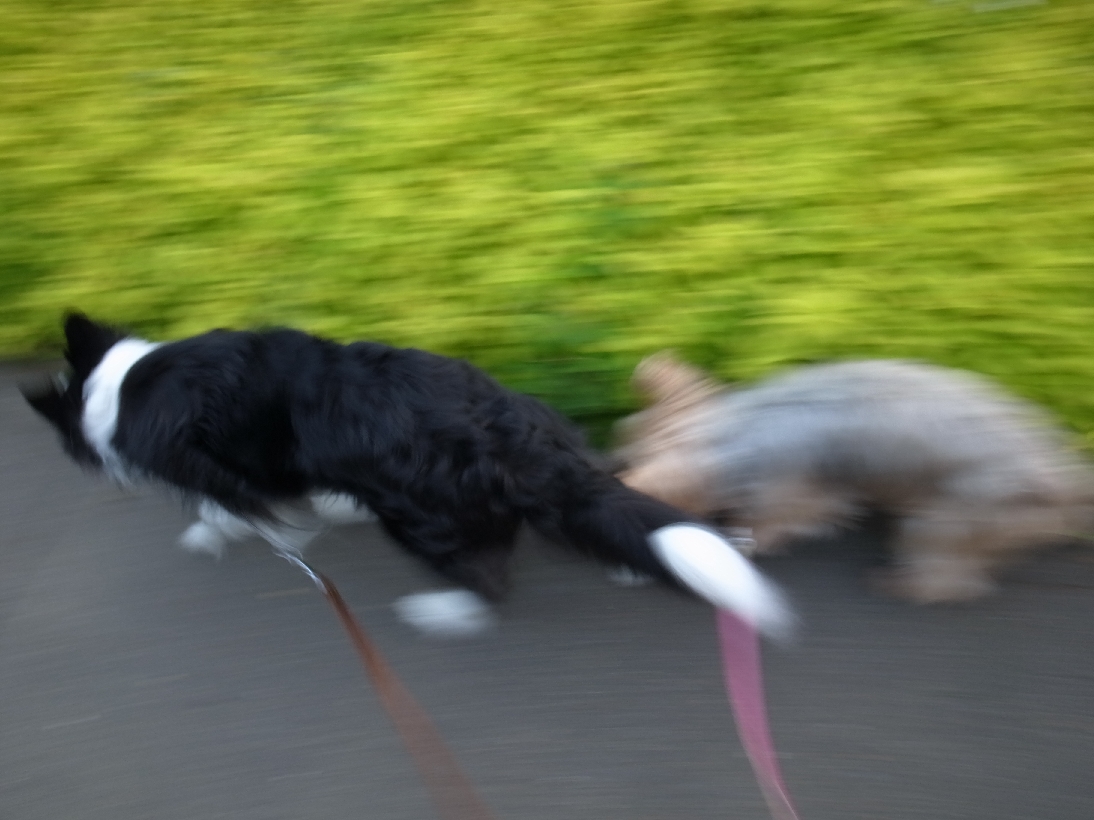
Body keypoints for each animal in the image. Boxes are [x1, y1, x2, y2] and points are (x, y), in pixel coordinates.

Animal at [21, 314, 792, 638]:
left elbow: (235, 511)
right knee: (601, 505)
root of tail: (510, 438)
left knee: (489, 579)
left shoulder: (229, 470)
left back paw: (443, 614)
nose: (102, 470)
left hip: (421, 521)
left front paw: (213, 537)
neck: (124, 386)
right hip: (544, 450)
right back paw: (634, 559)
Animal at [614, 352, 1094, 603]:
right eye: (624, 432)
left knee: (949, 576)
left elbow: (781, 519)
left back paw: (902, 584)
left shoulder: (791, 486)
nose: (613, 463)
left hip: (948, 517)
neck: (733, 435)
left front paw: (753, 536)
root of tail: (1065, 480)